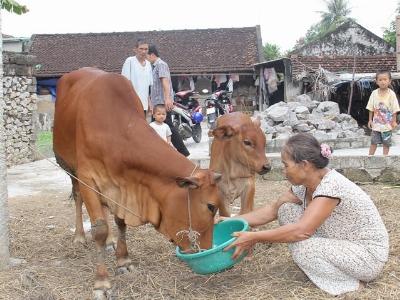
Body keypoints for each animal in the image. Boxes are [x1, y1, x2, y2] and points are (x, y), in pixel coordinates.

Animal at [52, 68, 223, 298]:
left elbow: (120, 223)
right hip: (68, 166)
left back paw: (110, 242)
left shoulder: (120, 187)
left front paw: (123, 260)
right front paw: (101, 282)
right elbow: (99, 229)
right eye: (211, 206)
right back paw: (79, 236)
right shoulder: (87, 178)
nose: (206, 249)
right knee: (78, 198)